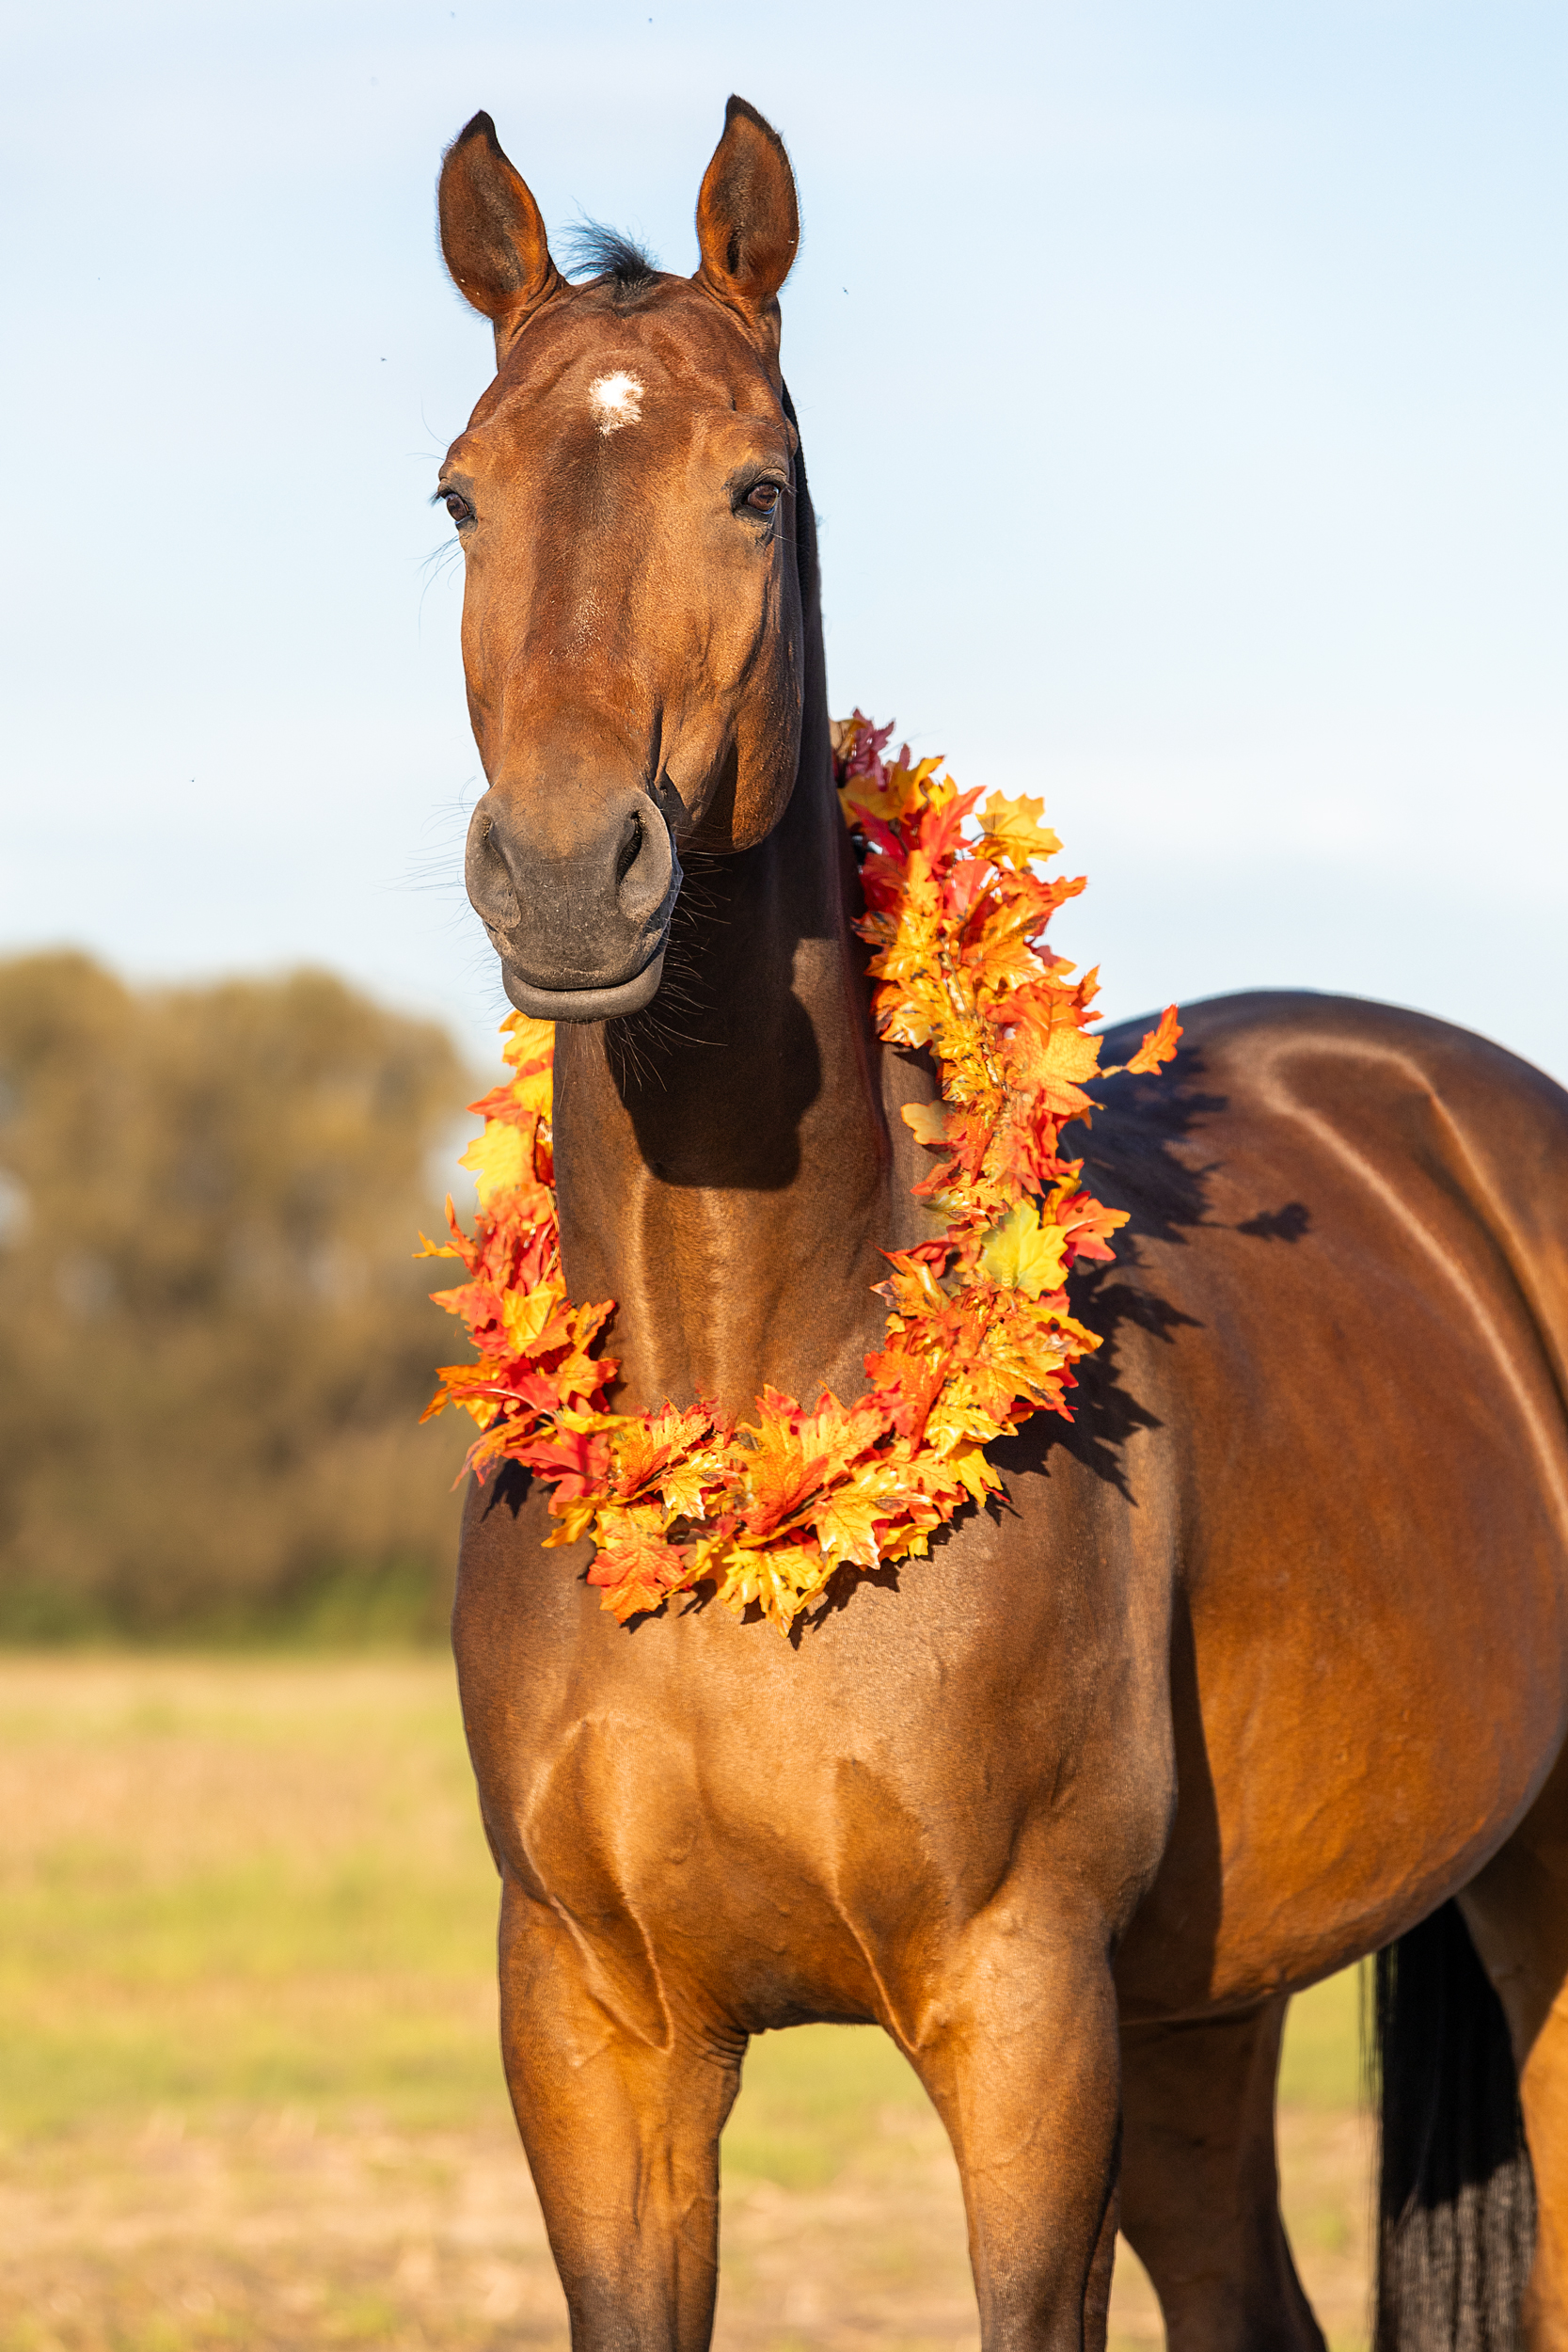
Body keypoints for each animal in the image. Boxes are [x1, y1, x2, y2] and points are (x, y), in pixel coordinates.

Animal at [430, 96, 1568, 2352]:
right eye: (457, 497)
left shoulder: (1024, 2021)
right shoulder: (597, 2034)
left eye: (755, 490)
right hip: (1208, 2005)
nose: (570, 877)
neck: (747, 1420)